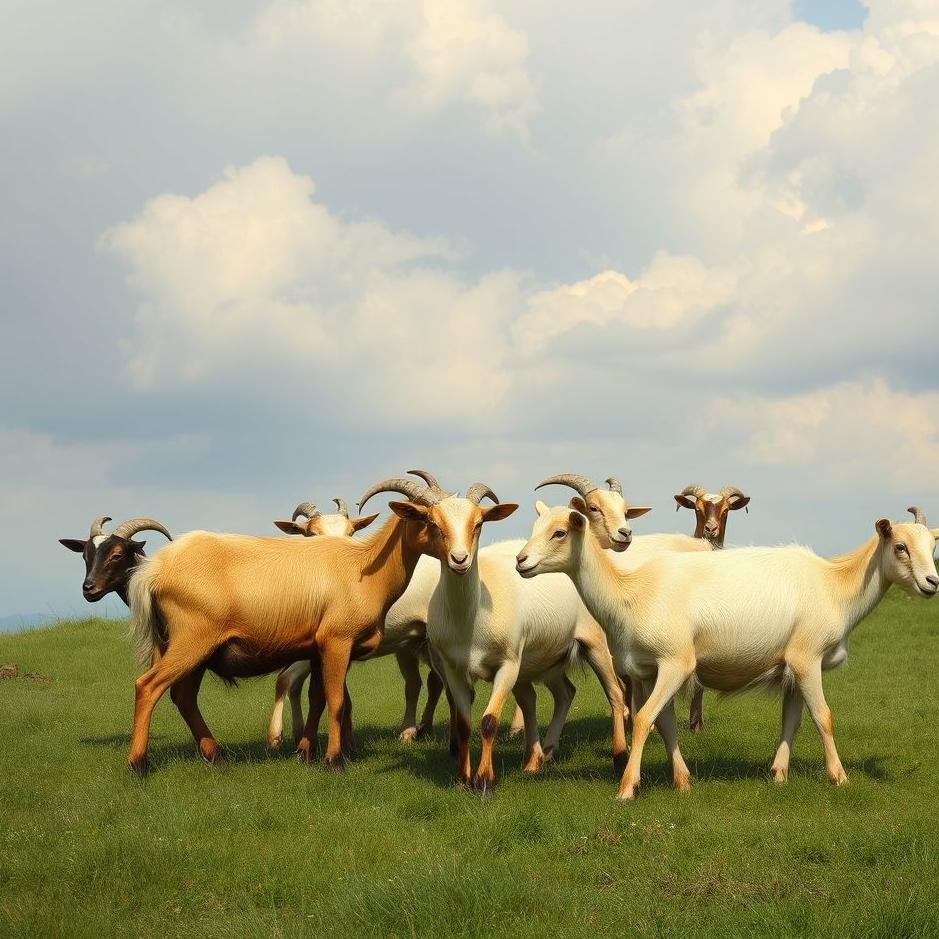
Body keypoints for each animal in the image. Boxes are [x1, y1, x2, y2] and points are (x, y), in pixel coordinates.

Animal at [266, 496, 447, 749]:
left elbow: (287, 680)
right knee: (424, 682)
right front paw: (305, 735)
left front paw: (277, 737)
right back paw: (418, 729)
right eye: (311, 534)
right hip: (412, 642)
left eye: (351, 532)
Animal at [361, 475, 628, 792]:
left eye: (478, 523)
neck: (471, 617)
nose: (460, 559)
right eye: (432, 523)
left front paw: (484, 780)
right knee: (559, 695)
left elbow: (489, 721)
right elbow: (464, 725)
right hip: (541, 659)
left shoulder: (507, 665)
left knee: (615, 693)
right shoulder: (453, 670)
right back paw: (539, 758)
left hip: (594, 645)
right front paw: (463, 779)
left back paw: (619, 758)